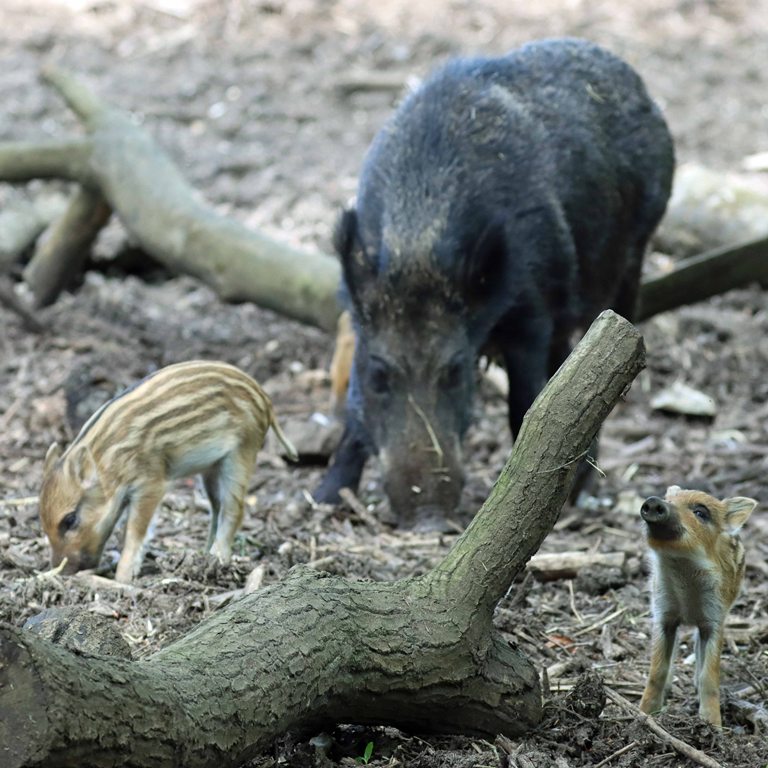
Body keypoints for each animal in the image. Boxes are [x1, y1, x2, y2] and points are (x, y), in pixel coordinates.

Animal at [39, 360, 297, 582]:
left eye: (70, 520)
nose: (61, 571)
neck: (108, 462)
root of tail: (265, 399)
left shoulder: (151, 481)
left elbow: (135, 530)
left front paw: (123, 578)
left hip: (242, 452)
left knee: (235, 509)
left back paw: (218, 558)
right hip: (212, 468)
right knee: (216, 507)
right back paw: (203, 556)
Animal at [315, 38, 675, 528]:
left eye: (454, 371)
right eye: (379, 374)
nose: (428, 516)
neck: (418, 250)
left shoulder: (531, 315)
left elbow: (525, 403)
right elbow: (353, 415)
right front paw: (323, 497)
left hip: (634, 253)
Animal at [639, 486, 757, 726]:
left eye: (700, 513)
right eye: (667, 499)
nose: (654, 502)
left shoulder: (714, 619)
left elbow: (709, 676)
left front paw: (713, 725)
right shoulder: (664, 615)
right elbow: (657, 670)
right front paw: (644, 713)